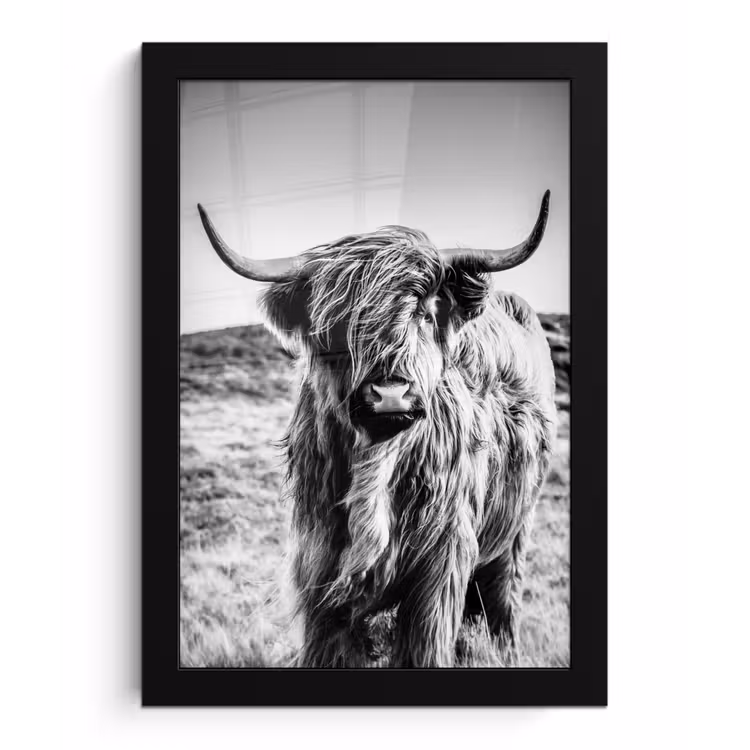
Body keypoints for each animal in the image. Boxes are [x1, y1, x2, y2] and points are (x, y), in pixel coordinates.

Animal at [197, 192, 557, 668]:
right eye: (336, 326)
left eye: (425, 315)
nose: (389, 394)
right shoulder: (320, 566)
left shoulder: (440, 567)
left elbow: (426, 647)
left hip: (515, 533)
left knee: (502, 603)